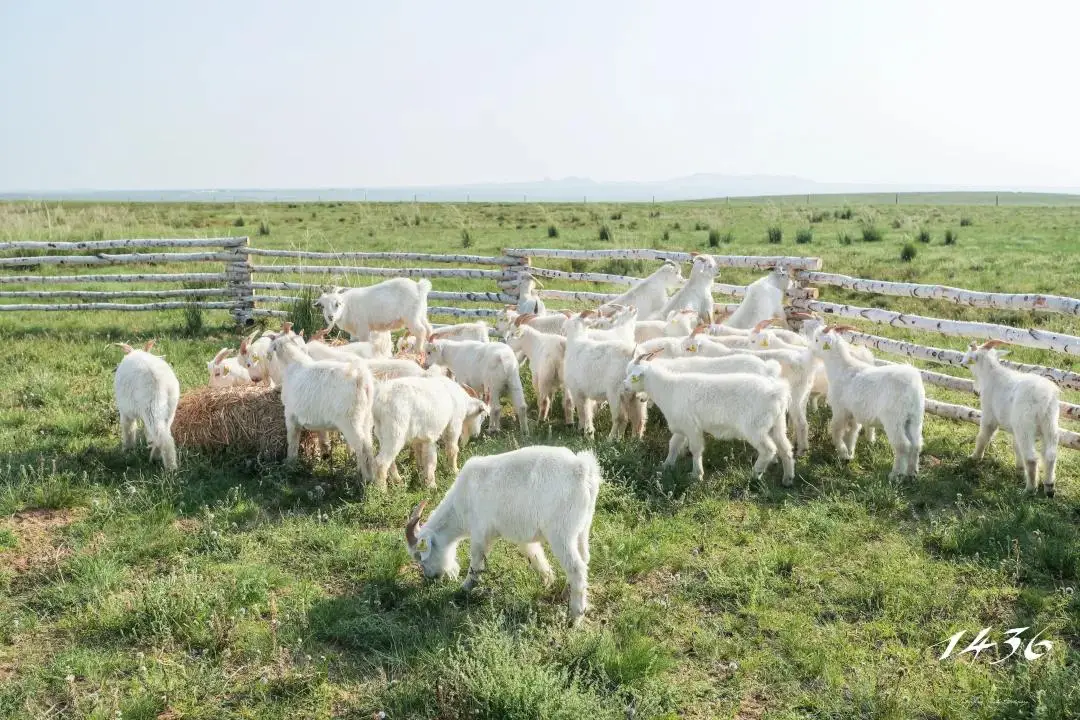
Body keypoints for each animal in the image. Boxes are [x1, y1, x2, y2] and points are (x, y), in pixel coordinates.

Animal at [113, 343, 179, 472]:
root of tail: (164, 382)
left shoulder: (125, 412)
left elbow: (128, 429)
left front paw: (127, 449)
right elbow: (146, 430)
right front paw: (148, 441)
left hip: (152, 407)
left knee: (163, 438)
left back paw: (169, 467)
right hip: (169, 409)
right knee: (163, 433)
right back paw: (155, 456)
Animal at [406, 444, 609, 626]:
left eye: (421, 559)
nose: (431, 578)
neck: (460, 503)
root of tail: (582, 468)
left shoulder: (480, 532)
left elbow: (476, 561)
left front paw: (465, 588)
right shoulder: (523, 537)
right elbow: (535, 555)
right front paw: (548, 580)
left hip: (561, 534)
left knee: (576, 568)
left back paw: (575, 617)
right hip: (582, 528)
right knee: (584, 558)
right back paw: (566, 594)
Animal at [626, 354, 794, 483]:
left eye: (633, 376)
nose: (625, 386)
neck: (669, 388)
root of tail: (776, 392)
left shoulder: (692, 427)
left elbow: (696, 449)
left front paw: (697, 475)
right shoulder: (681, 426)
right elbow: (673, 445)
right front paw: (665, 465)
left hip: (755, 428)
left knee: (768, 449)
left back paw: (754, 475)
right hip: (777, 425)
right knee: (785, 448)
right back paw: (788, 479)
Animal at [807, 325, 924, 479]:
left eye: (816, 339)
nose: (810, 350)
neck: (841, 368)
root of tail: (911, 381)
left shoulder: (840, 410)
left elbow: (836, 431)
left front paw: (843, 453)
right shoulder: (854, 413)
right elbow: (852, 433)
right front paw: (850, 454)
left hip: (894, 419)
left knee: (903, 445)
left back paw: (895, 475)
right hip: (914, 418)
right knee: (916, 444)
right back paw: (912, 472)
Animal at [967, 338, 1058, 496]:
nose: (975, 391)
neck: (991, 374)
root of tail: (1044, 397)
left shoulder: (989, 415)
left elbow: (983, 436)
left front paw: (975, 457)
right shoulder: (1015, 429)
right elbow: (1016, 447)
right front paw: (1019, 469)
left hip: (1025, 425)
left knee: (1032, 458)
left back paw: (1029, 490)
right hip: (1050, 424)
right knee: (1050, 455)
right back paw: (1049, 487)